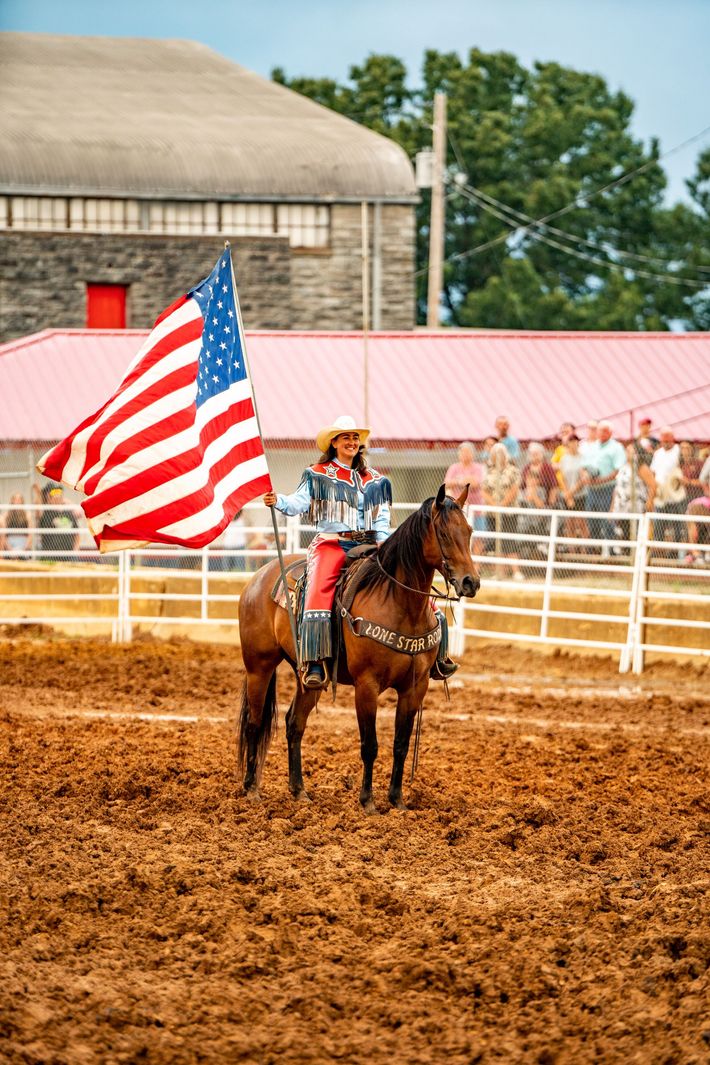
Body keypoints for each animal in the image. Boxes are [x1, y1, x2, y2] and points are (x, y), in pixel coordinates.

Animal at [237, 487, 476, 809]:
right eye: (444, 533)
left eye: (469, 531)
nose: (471, 582)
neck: (399, 603)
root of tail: (259, 577)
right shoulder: (367, 685)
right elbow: (370, 745)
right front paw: (368, 802)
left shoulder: (416, 687)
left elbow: (400, 744)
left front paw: (397, 801)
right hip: (259, 666)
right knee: (254, 721)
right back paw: (251, 789)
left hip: (310, 677)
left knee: (294, 724)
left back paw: (299, 791)